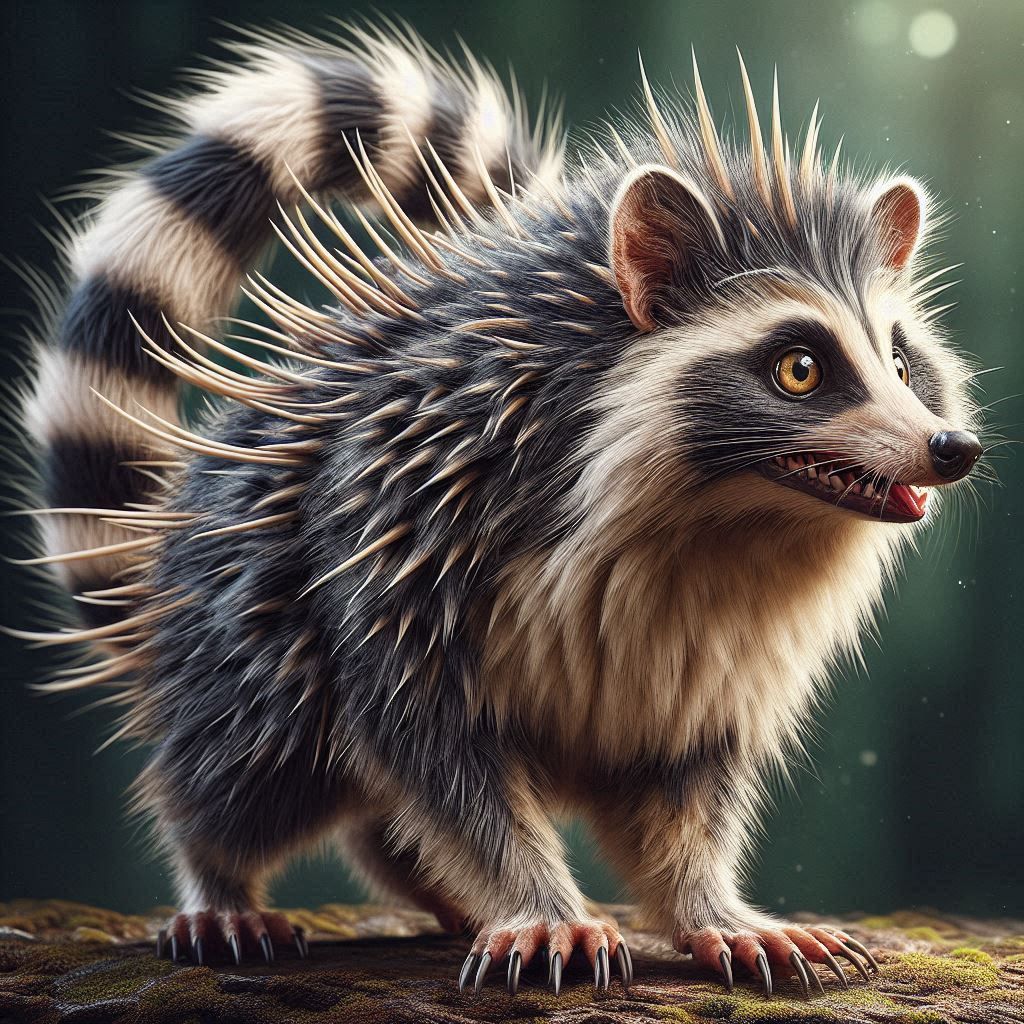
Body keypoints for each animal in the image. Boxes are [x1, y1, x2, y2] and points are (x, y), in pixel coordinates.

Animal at [12, 21, 983, 997]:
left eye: (903, 364)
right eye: (801, 369)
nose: (952, 449)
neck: (730, 513)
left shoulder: (717, 663)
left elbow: (687, 787)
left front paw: (711, 906)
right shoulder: (402, 524)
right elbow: (435, 756)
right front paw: (538, 902)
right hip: (245, 626)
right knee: (249, 760)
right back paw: (220, 878)